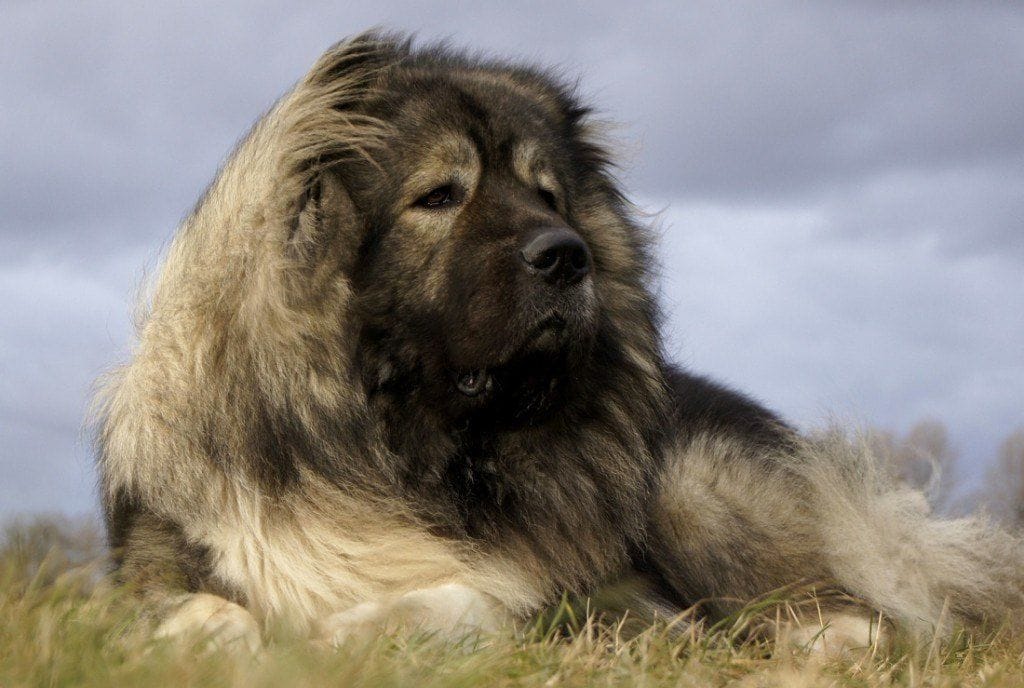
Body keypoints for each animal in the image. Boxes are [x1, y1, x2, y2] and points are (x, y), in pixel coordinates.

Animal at [96, 32, 1024, 651]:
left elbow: (473, 600)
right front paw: (228, 637)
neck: (410, 455)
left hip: (692, 483)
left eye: (546, 194)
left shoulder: (585, 595)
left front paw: (348, 633)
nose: (567, 256)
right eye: (440, 196)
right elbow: (200, 609)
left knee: (855, 618)